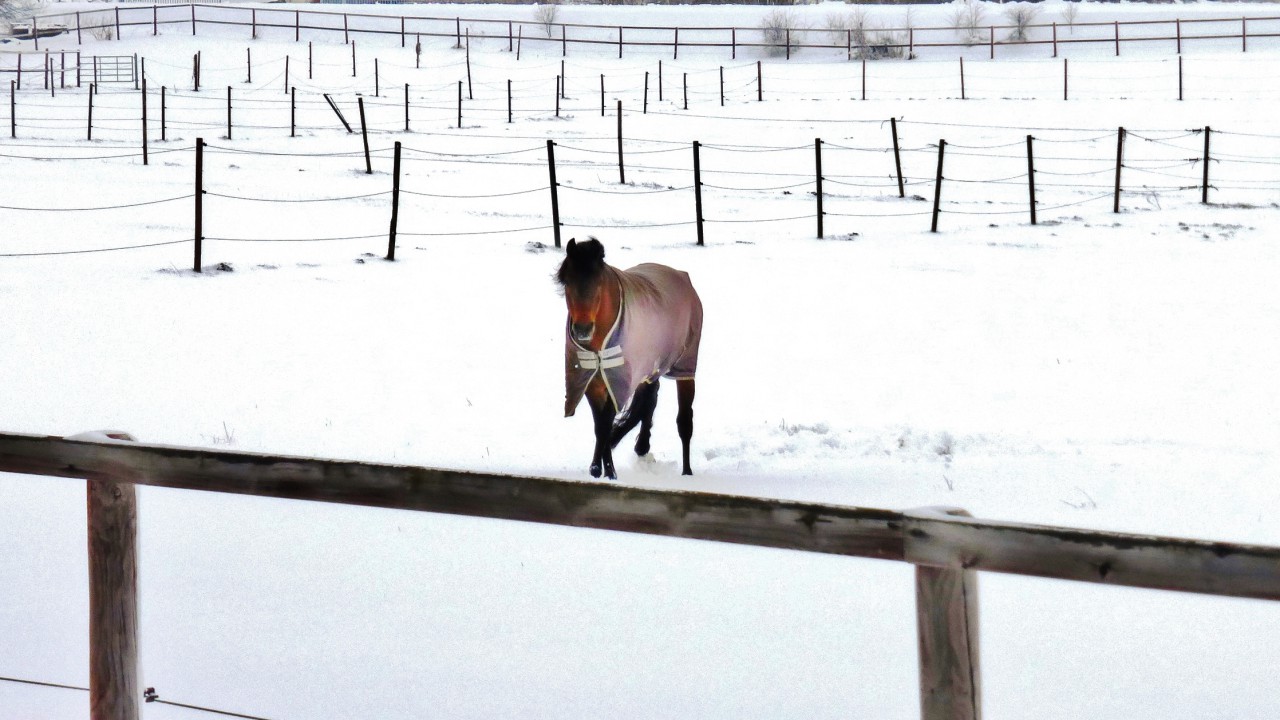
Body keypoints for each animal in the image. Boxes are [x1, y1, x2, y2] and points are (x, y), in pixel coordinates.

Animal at [555, 238, 706, 479]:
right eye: (568, 282)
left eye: (598, 283)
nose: (582, 330)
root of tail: (681, 276)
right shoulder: (591, 381)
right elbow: (600, 426)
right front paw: (598, 468)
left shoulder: (617, 382)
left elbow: (606, 423)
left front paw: (609, 472)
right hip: (651, 369)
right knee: (649, 402)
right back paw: (642, 447)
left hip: (684, 365)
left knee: (684, 420)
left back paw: (687, 472)